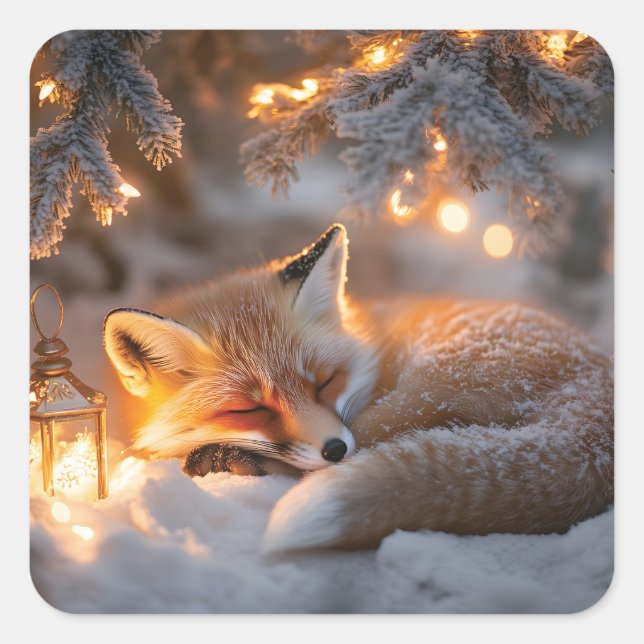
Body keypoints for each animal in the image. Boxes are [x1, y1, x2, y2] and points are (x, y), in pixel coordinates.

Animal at [103, 223, 613, 553]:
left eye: (325, 382)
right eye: (248, 409)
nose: (333, 449)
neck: (369, 332)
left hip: (423, 390)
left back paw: (228, 460)